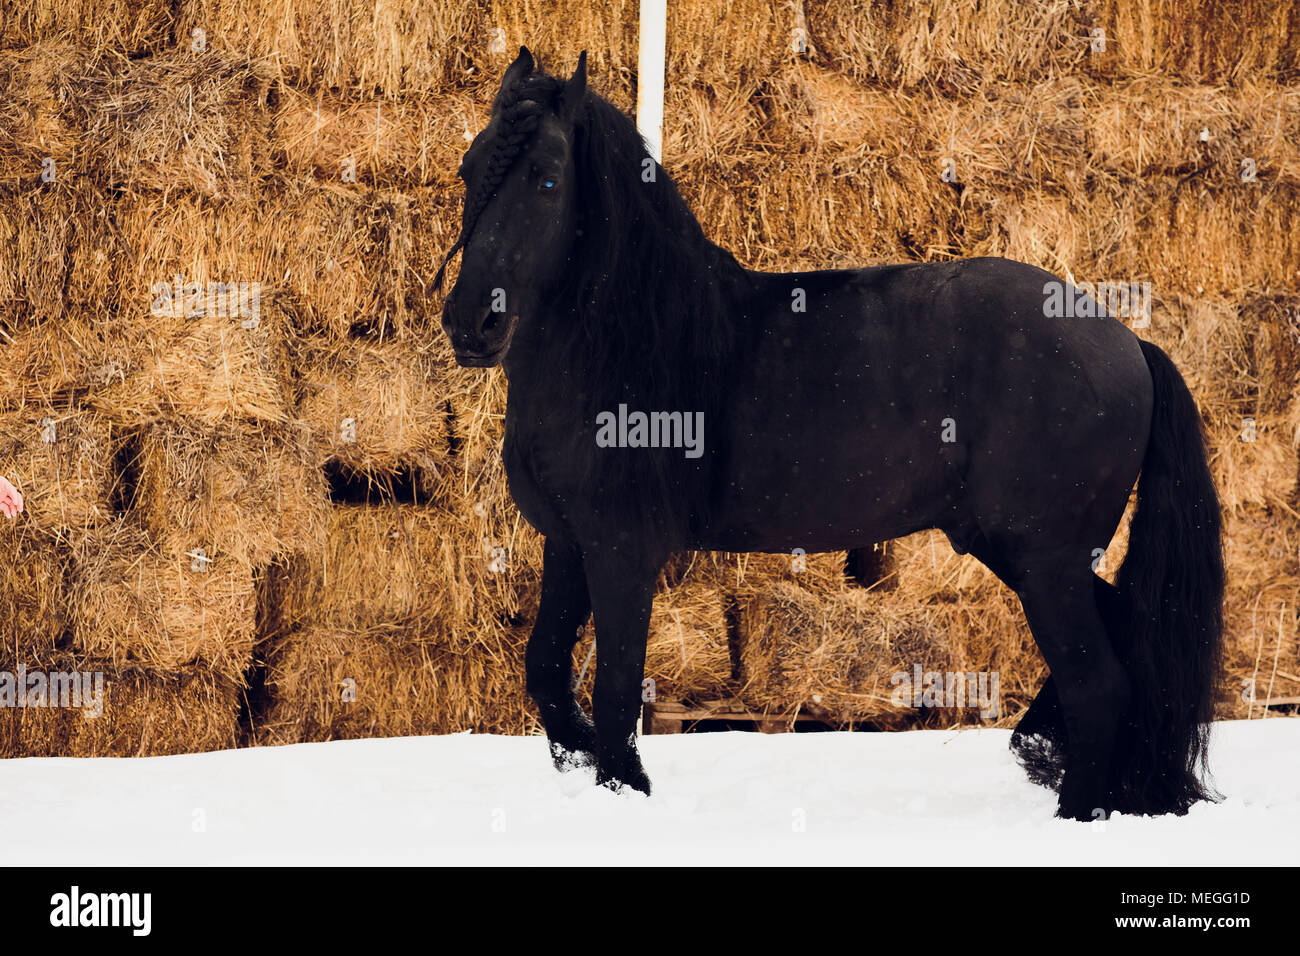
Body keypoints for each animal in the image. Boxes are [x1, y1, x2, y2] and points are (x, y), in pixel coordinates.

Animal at [434, 48, 1225, 821]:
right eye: (471, 169)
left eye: (546, 179)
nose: (472, 322)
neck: (630, 347)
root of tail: (1128, 343)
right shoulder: (568, 543)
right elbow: (546, 670)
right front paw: (580, 758)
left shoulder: (622, 550)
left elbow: (615, 688)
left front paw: (625, 788)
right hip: (1025, 553)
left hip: (1046, 560)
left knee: (1099, 686)